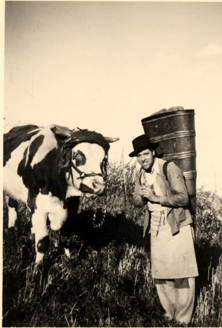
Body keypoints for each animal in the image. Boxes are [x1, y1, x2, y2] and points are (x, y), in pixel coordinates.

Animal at [3, 123, 118, 264]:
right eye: (77, 154)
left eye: (104, 160)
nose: (98, 186)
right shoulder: (37, 207)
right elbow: (42, 243)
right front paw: (38, 268)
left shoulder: (72, 208)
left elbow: (65, 238)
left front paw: (68, 262)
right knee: (12, 209)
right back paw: (11, 234)